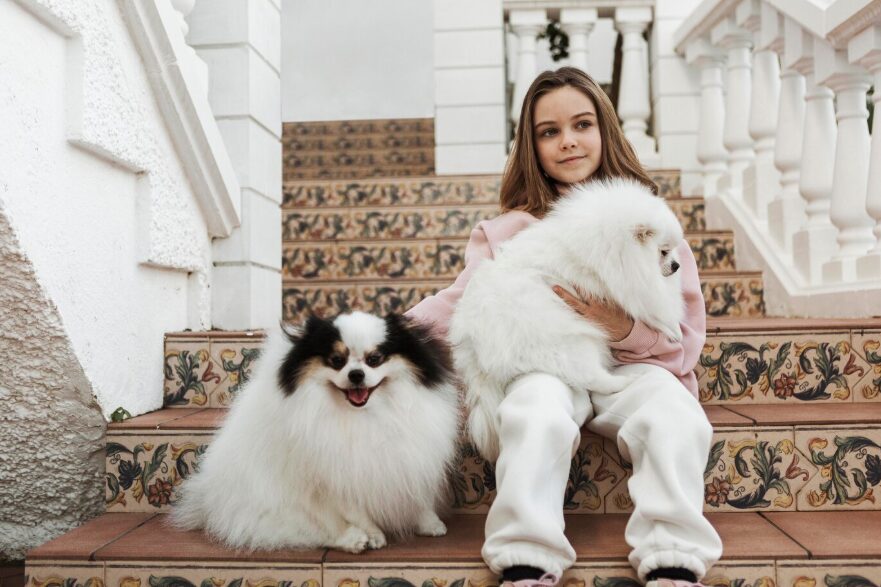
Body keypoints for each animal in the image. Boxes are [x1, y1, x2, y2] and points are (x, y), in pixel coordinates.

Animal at [173, 312, 460, 552]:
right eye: (336, 361)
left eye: (374, 359)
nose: (356, 374)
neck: (365, 414)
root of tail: (208, 500)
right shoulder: (332, 473)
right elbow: (355, 509)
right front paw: (374, 533)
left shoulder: (408, 456)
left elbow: (417, 494)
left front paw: (429, 522)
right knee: (304, 529)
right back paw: (353, 539)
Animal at [450, 177, 684, 462]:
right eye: (663, 251)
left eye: (672, 251)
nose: (676, 266)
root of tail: (473, 344)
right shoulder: (625, 284)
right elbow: (650, 305)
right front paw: (671, 328)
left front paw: (672, 329)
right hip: (570, 340)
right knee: (589, 375)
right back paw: (622, 382)